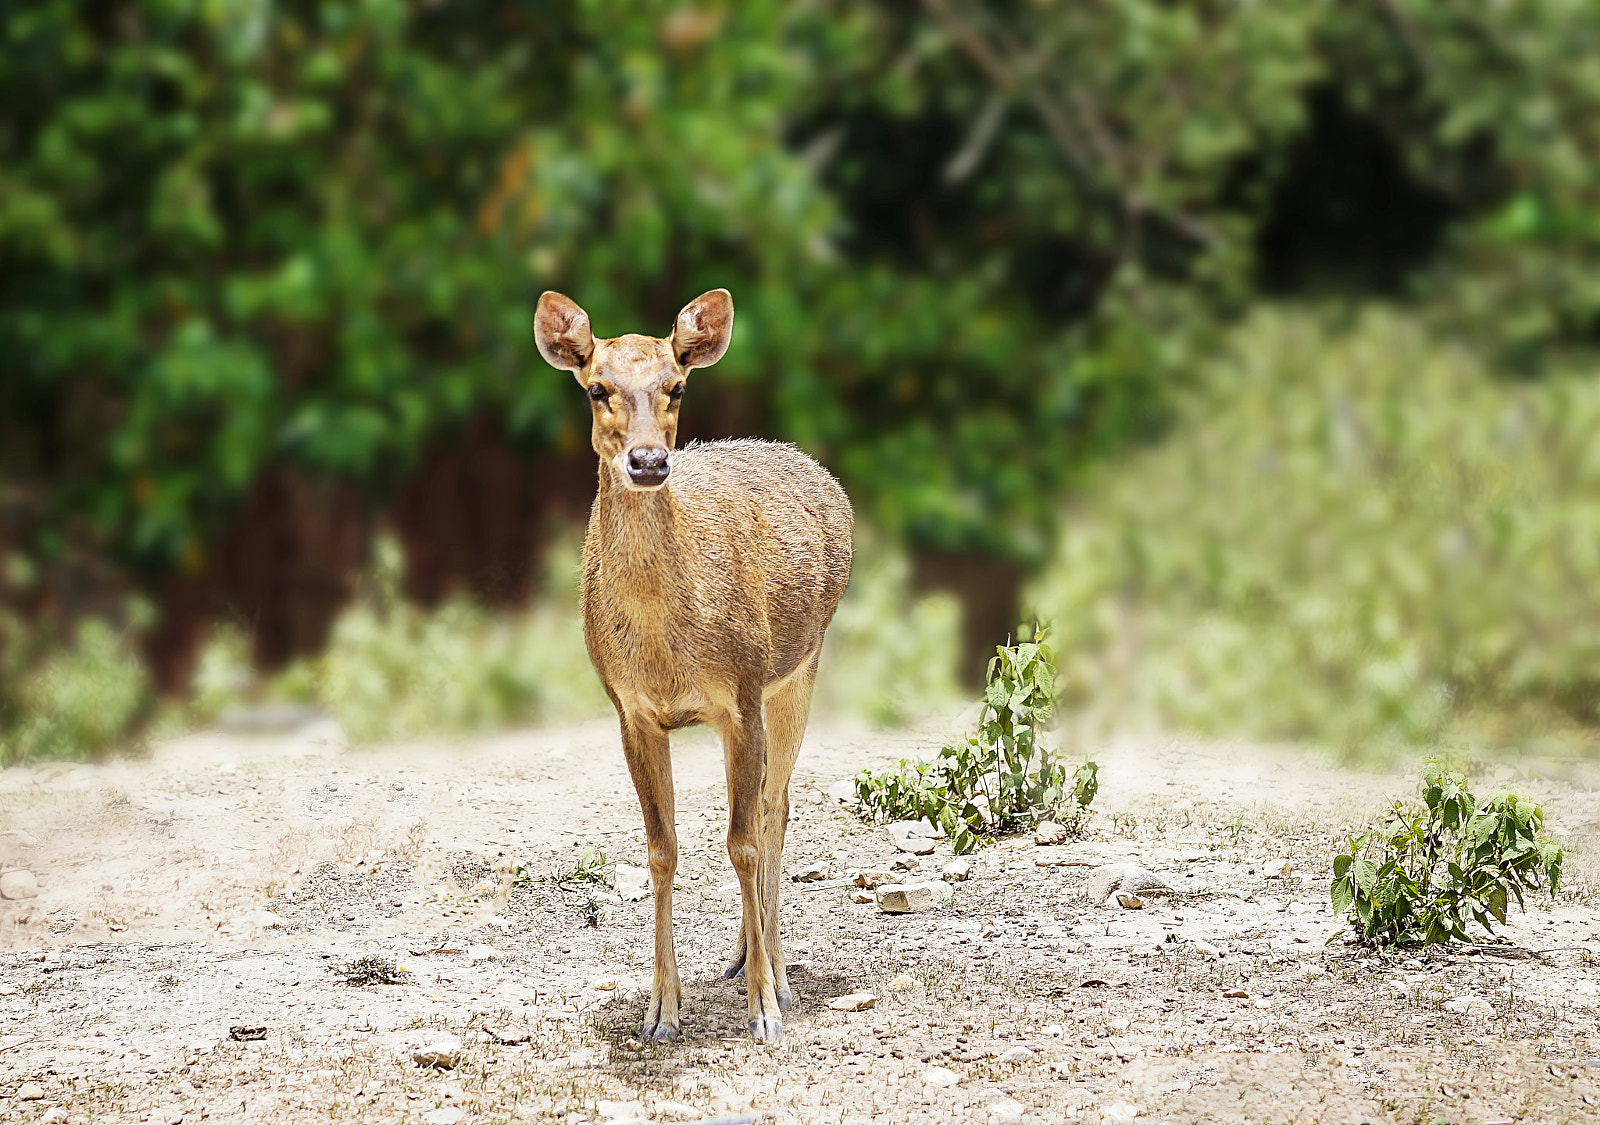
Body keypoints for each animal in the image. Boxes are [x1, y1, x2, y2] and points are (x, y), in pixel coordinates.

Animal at [533, 288, 854, 1045]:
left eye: (675, 386)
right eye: (596, 387)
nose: (649, 461)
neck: (664, 648)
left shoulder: (741, 692)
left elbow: (741, 841)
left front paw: (765, 1009)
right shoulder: (631, 712)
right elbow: (662, 848)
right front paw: (661, 1010)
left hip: (801, 664)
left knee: (774, 808)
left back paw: (776, 969)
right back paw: (739, 955)